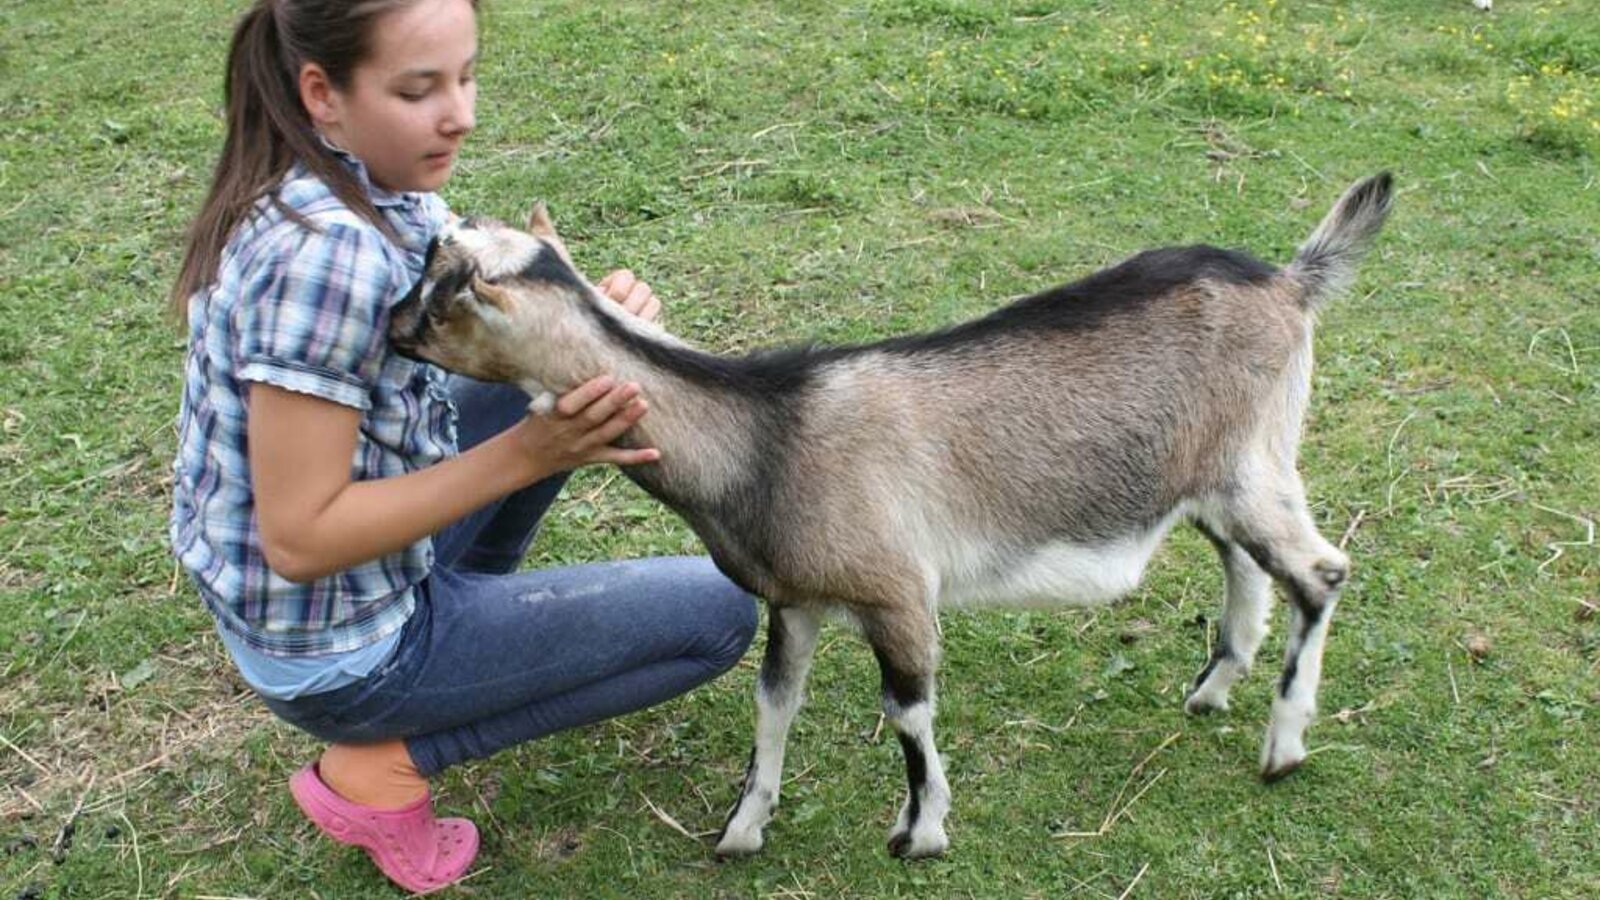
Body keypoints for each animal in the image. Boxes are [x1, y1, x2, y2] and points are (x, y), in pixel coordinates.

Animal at [390, 173, 1401, 851]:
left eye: (442, 300)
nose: (391, 328)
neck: (768, 432)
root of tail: (1292, 283)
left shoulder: (897, 592)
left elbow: (908, 712)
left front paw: (920, 832)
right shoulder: (794, 601)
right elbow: (774, 704)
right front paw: (742, 830)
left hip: (1255, 463)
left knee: (1321, 572)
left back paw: (1283, 744)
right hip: (1213, 479)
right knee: (1246, 565)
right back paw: (1212, 689)